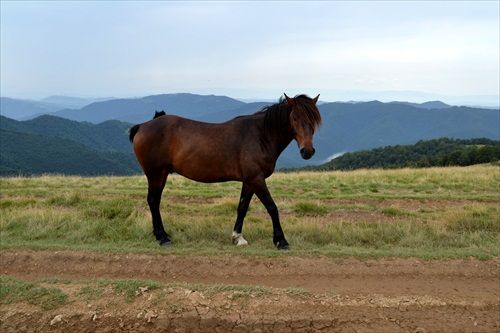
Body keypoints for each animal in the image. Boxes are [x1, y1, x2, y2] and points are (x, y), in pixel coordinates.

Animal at [129, 93, 322, 249]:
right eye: (295, 118)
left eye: (314, 119)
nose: (307, 151)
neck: (261, 136)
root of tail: (143, 126)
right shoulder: (257, 179)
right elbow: (272, 208)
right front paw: (281, 241)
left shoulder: (249, 181)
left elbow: (242, 207)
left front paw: (238, 238)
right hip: (156, 173)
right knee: (153, 201)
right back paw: (162, 238)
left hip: (161, 174)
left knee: (155, 201)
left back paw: (162, 235)